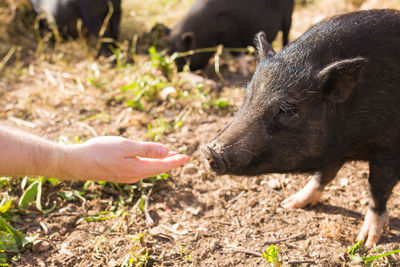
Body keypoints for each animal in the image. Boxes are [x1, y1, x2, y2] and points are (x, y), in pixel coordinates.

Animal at [165, 0, 294, 71]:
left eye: (185, 56)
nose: (179, 71)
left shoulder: (229, 33)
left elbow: (236, 51)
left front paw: (244, 72)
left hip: (288, 15)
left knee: (286, 33)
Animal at [202, 9, 400, 249]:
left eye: (287, 109)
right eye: (247, 95)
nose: (209, 150)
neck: (352, 144)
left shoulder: (389, 148)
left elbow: (377, 189)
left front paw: (366, 242)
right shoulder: (333, 150)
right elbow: (323, 174)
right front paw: (289, 204)